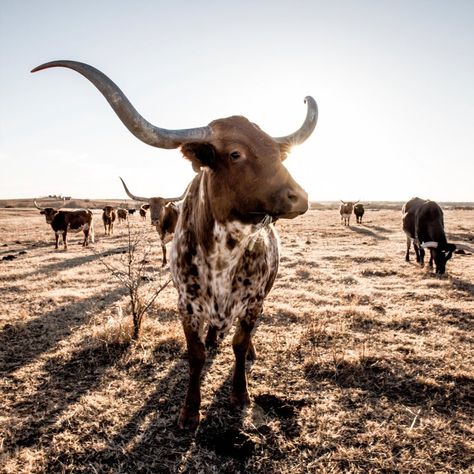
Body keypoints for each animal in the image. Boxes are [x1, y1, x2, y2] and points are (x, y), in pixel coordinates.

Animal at [30, 59, 318, 430]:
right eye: (235, 154)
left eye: (278, 153)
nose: (300, 197)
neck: (225, 253)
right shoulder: (187, 306)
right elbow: (196, 356)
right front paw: (190, 410)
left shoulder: (254, 302)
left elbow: (240, 344)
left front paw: (240, 393)